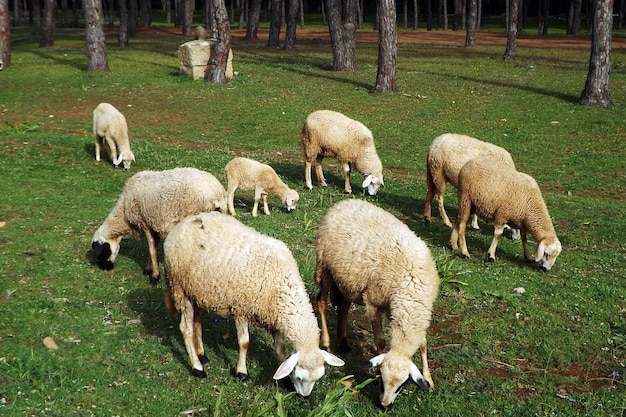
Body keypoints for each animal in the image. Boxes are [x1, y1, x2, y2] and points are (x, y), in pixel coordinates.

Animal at [90, 167, 227, 284]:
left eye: (100, 255)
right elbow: (154, 245)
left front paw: (155, 276)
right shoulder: (153, 224)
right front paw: (149, 269)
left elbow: (151, 249)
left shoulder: (144, 222)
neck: (124, 213)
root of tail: (218, 193)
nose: (105, 268)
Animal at [161, 213, 344, 394]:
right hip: (180, 288)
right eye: (299, 377)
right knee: (186, 328)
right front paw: (242, 373)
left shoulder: (274, 317)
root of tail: (184, 222)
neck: (282, 285)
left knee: (197, 321)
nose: (304, 397)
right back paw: (197, 367)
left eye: (317, 378)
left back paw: (202, 356)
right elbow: (244, 343)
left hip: (199, 292)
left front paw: (284, 379)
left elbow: (280, 348)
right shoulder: (241, 309)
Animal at [312, 199, 438, 410]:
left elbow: (423, 343)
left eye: (401, 386)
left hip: (349, 281)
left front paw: (428, 379)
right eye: (381, 381)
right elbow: (380, 341)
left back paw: (343, 344)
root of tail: (346, 202)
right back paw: (327, 342)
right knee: (320, 302)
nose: (385, 406)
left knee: (343, 308)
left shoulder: (406, 310)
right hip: (325, 266)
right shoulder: (373, 302)